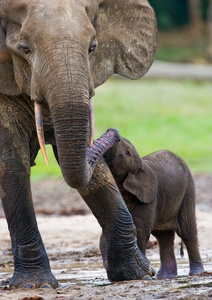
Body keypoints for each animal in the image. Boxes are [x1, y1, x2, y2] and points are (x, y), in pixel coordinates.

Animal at [0, 0, 157, 288]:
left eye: (92, 47)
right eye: (24, 49)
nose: (114, 132)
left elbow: (91, 166)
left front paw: (137, 274)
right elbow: (12, 163)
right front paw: (35, 285)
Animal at [101, 138, 204, 278]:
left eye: (127, 152)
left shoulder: (149, 198)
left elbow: (139, 229)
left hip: (188, 192)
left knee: (187, 232)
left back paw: (196, 273)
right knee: (163, 236)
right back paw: (164, 276)